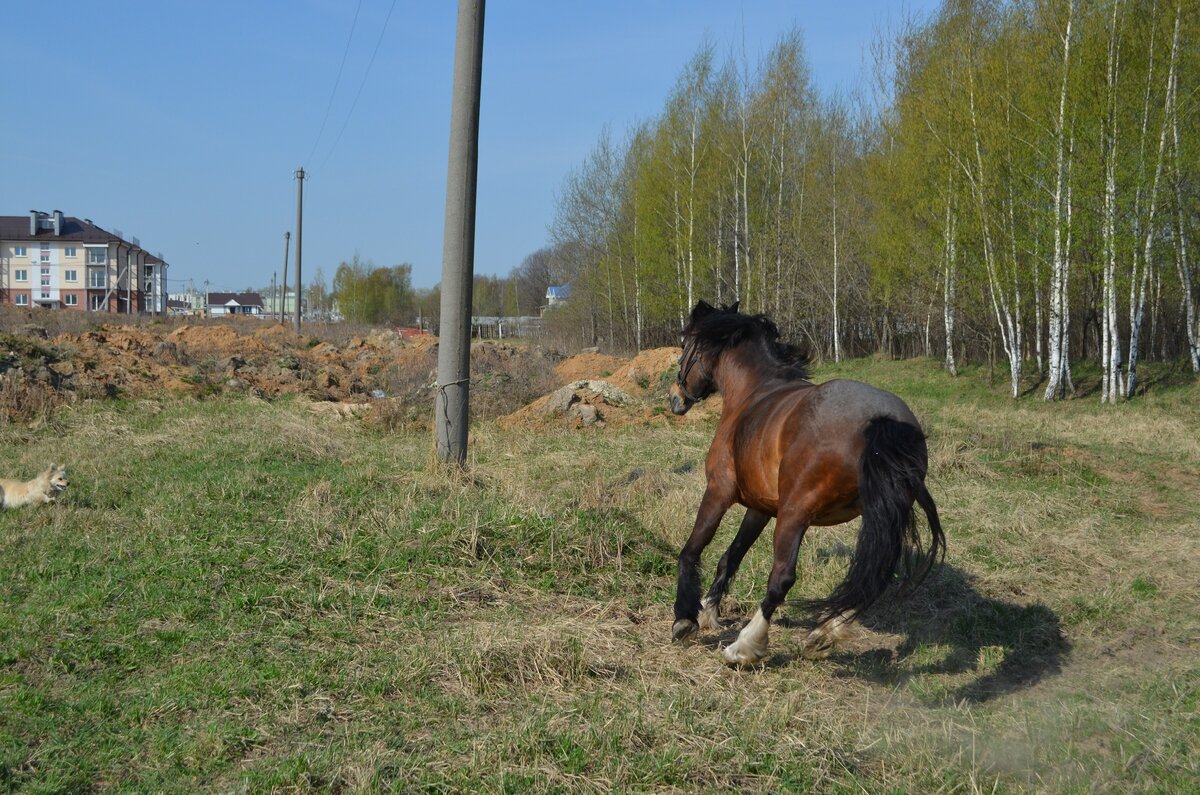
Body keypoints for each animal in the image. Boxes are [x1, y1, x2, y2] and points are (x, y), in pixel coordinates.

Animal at [672, 300, 940, 667]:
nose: (675, 399)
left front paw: (685, 618)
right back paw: (822, 635)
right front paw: (708, 612)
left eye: (684, 346)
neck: (754, 393)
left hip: (795, 514)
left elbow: (692, 549)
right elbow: (731, 556)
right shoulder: (760, 507)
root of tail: (882, 419)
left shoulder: (719, 491)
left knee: (783, 577)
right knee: (870, 576)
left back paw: (745, 647)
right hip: (877, 517)